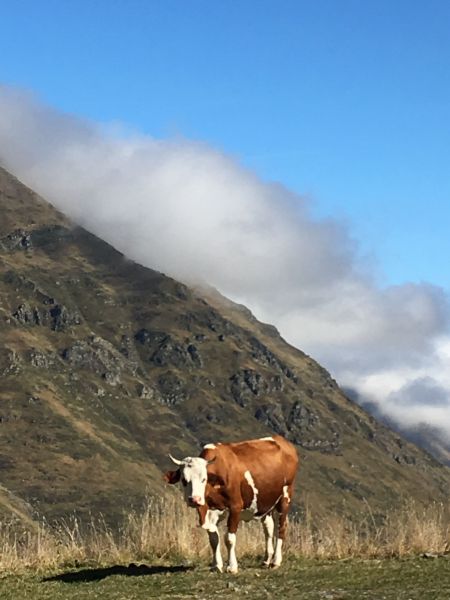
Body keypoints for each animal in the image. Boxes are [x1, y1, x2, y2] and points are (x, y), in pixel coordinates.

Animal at [163, 436, 298, 572]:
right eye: (184, 480)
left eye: (204, 479)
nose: (194, 499)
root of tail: (281, 439)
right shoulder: (211, 511)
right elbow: (213, 539)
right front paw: (216, 565)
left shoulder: (235, 507)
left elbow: (229, 538)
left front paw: (232, 566)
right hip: (265, 502)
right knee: (268, 528)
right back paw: (266, 560)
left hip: (285, 496)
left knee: (280, 528)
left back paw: (275, 561)